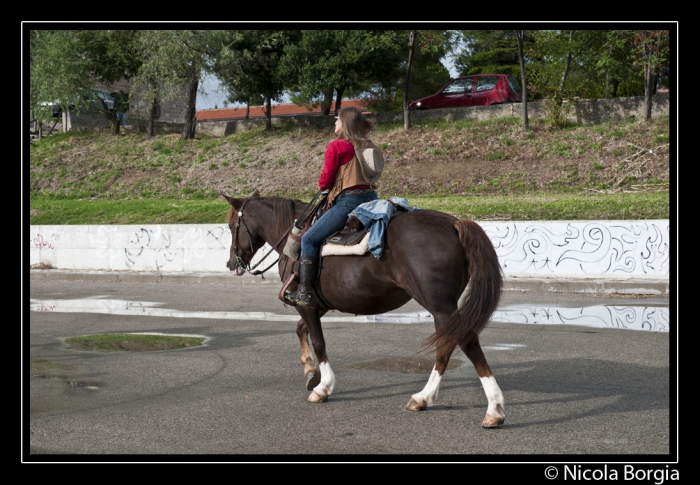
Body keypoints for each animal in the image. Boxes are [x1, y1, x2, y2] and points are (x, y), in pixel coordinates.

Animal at [221, 191, 506, 426]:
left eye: (231, 226)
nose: (231, 263)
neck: (296, 237)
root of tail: (454, 223)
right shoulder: (319, 305)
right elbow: (301, 329)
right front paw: (310, 370)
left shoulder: (307, 304)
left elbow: (318, 341)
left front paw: (323, 386)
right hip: (442, 308)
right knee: (445, 347)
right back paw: (424, 398)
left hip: (440, 305)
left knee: (467, 342)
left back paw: (494, 408)